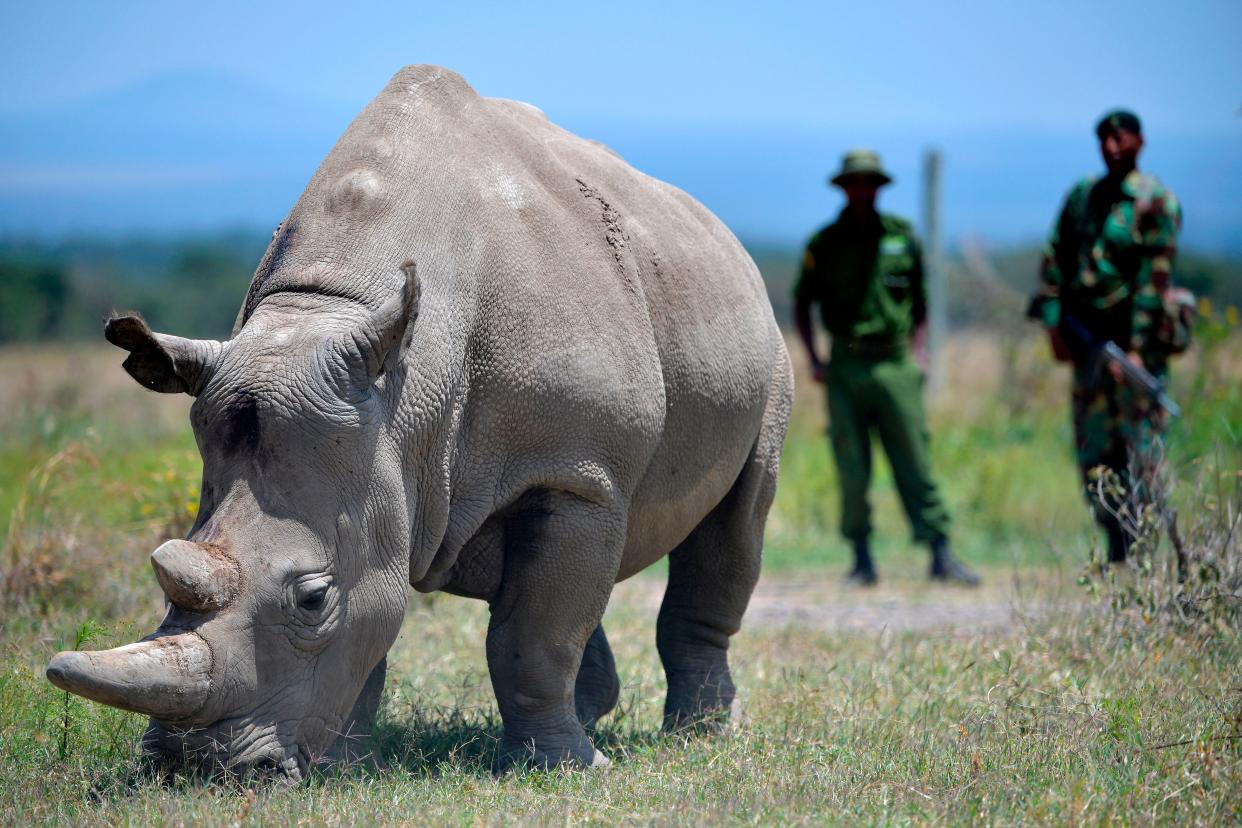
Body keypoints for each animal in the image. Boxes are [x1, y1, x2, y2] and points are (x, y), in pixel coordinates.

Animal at [48, 66, 789, 784]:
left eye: (312, 599)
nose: (195, 768)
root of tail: (722, 234)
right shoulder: (381, 451)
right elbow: (386, 615)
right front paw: (345, 767)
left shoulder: (575, 472)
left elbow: (534, 637)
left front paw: (566, 772)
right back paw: (597, 714)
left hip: (765, 347)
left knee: (736, 520)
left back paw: (701, 735)